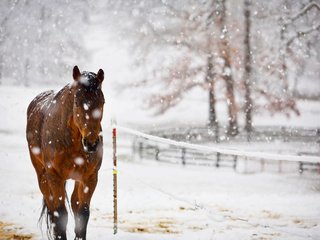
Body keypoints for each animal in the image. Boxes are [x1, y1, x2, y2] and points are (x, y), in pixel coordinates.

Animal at [26, 65, 104, 240]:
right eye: (76, 102)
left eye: (102, 101)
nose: (91, 143)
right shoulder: (55, 177)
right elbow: (60, 214)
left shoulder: (90, 178)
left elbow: (83, 213)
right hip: (42, 176)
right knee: (52, 207)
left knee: (74, 203)